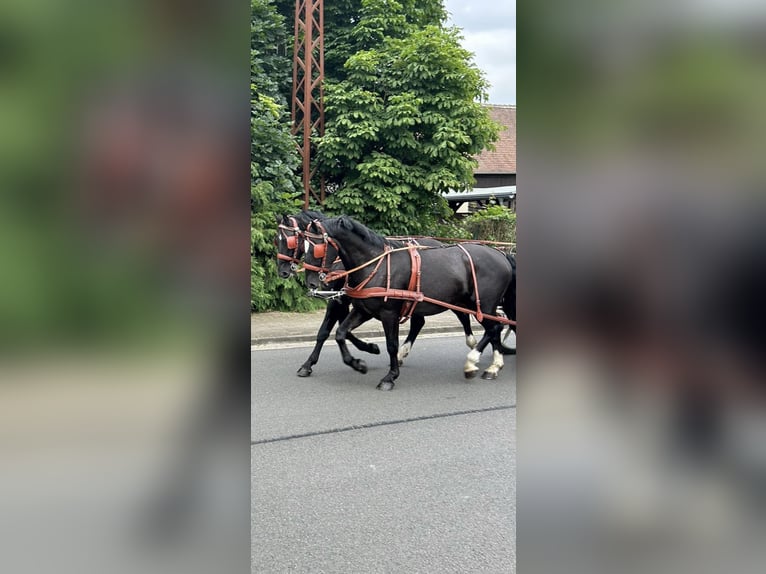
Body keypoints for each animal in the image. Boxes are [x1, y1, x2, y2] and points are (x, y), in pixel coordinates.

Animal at [276, 212, 480, 378]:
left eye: (290, 240)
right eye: (276, 240)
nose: (283, 271)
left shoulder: (341, 301)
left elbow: (326, 331)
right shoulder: (347, 300)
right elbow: (340, 330)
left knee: (461, 314)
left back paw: (471, 343)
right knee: (420, 322)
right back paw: (403, 353)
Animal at [306, 217, 516, 392]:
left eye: (316, 247)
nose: (311, 282)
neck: (376, 265)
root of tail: (501, 255)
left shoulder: (389, 313)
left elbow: (391, 345)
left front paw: (390, 377)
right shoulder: (363, 310)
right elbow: (340, 333)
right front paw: (358, 363)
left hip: (484, 305)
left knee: (495, 327)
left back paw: (477, 363)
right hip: (471, 304)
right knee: (494, 328)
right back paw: (492, 365)